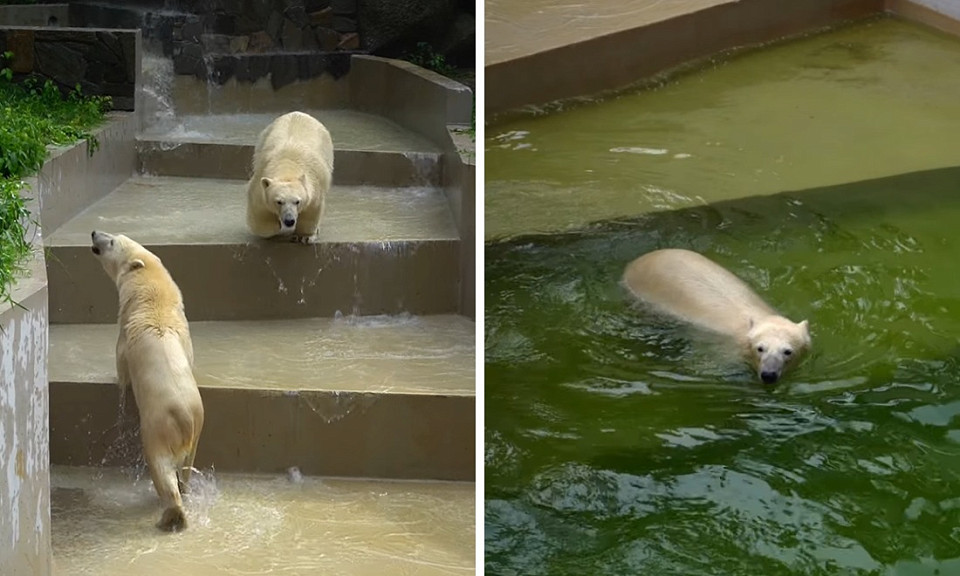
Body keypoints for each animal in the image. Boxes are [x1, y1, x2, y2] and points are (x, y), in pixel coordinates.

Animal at [91, 230, 205, 532]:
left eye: (112, 241)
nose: (94, 233)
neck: (154, 300)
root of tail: (186, 419)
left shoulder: (125, 330)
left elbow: (120, 362)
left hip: (158, 428)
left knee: (161, 469)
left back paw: (170, 515)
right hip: (199, 427)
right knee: (186, 467)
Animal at [246, 111, 336, 243]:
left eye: (297, 201)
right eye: (279, 201)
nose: (289, 221)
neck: (288, 167)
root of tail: (298, 113)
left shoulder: (314, 185)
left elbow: (311, 210)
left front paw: (304, 236)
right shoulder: (260, 182)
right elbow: (260, 213)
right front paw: (276, 226)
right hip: (262, 140)